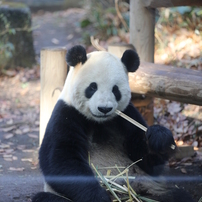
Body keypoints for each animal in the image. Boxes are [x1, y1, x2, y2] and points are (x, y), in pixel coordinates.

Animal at [32, 45, 194, 202]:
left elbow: (145, 159)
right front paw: (98, 197)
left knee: (178, 196)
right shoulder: (67, 114)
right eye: (92, 87)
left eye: (115, 90)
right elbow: (61, 159)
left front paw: (159, 138)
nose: (104, 109)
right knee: (45, 197)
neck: (99, 122)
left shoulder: (126, 116)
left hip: (152, 188)